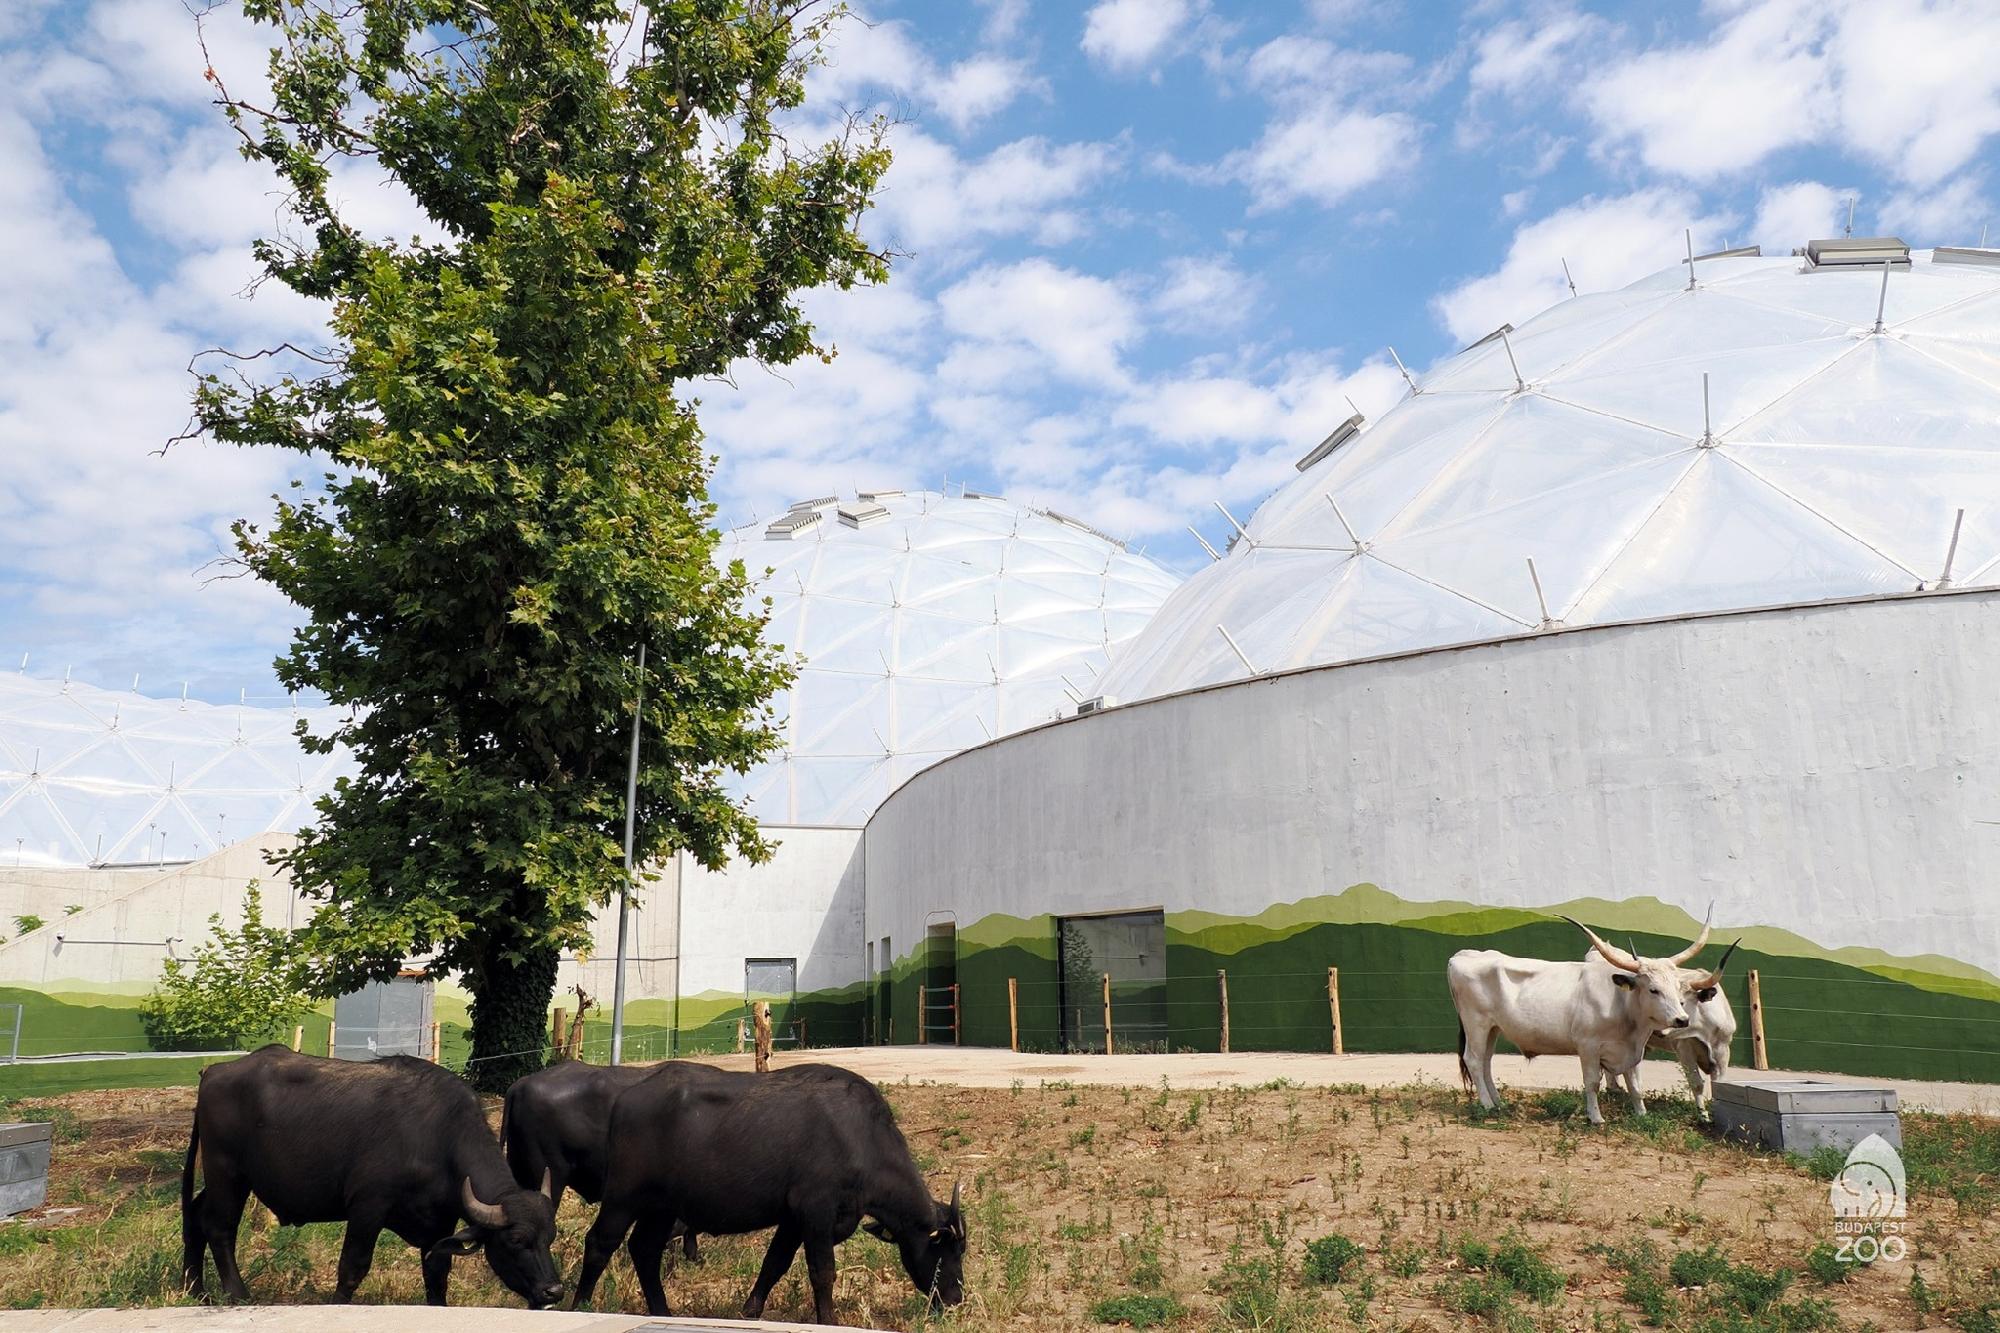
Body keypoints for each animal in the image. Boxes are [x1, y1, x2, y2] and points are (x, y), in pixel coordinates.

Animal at [181, 1040, 564, 1304]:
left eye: (550, 1237)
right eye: (516, 1240)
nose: (554, 1291)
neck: (437, 1137)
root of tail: (214, 1072)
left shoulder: (440, 1224)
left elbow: (437, 1274)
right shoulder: (368, 1206)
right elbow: (352, 1268)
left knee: (195, 1214)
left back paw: (195, 1288)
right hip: (226, 1171)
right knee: (219, 1226)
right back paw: (236, 1293)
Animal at [572, 1056, 968, 1320]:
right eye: (949, 1248)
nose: (955, 1297)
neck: (862, 1139)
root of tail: (625, 1100)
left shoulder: (793, 1220)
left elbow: (774, 1263)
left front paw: (751, 1309)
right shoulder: (817, 1212)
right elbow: (822, 1272)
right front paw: (828, 1319)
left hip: (661, 1207)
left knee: (645, 1250)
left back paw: (663, 1312)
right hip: (623, 1197)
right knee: (600, 1243)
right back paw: (580, 1305)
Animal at [1456, 912, 1720, 1120]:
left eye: (1677, 988)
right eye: (1653, 989)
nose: (1682, 1019)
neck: (1623, 1008)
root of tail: (1463, 955)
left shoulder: (1633, 1052)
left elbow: (1635, 1085)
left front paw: (1642, 1115)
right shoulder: (1588, 1046)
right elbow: (1592, 1082)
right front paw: (1595, 1117)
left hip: (1492, 1028)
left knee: (1486, 1061)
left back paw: (1498, 1103)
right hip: (1476, 1023)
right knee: (1474, 1060)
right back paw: (1487, 1105)